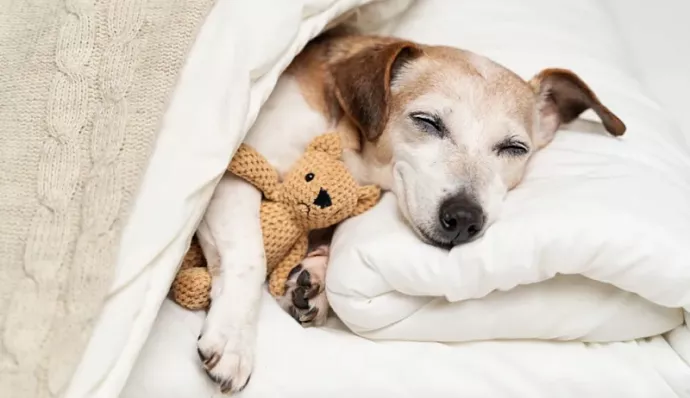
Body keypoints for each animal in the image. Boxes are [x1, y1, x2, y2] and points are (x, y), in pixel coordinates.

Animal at [192, 28, 624, 392]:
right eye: (427, 122)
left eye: (514, 148)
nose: (464, 218)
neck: (349, 145)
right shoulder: (236, 173)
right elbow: (250, 257)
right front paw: (234, 338)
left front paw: (315, 280)